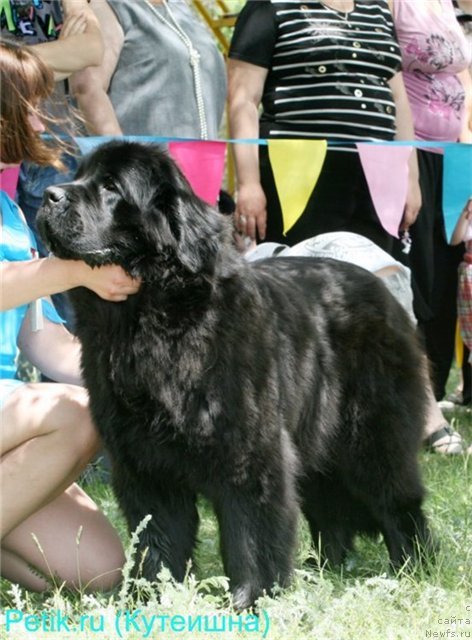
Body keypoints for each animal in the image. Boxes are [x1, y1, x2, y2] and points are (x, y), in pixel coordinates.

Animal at [38, 141, 434, 608]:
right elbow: (157, 537)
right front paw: (151, 597)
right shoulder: (143, 460)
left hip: (371, 436)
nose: (49, 196)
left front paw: (250, 598)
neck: (153, 321)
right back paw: (324, 569)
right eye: (79, 175)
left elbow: (250, 533)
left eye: (112, 187)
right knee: (328, 506)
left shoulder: (250, 452)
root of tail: (381, 288)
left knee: (397, 501)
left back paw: (413, 568)